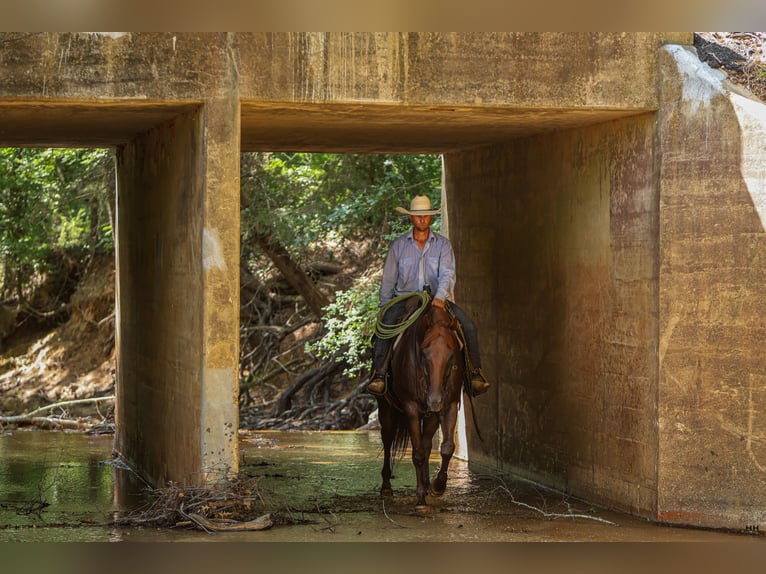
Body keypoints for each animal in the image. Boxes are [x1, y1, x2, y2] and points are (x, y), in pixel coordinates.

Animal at [380, 304, 468, 510]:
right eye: (424, 354)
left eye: (451, 356)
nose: (434, 400)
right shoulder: (411, 408)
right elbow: (418, 452)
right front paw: (420, 498)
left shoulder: (449, 405)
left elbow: (447, 447)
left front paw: (438, 486)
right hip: (386, 408)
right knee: (387, 440)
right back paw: (386, 488)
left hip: (431, 416)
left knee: (428, 444)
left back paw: (428, 485)